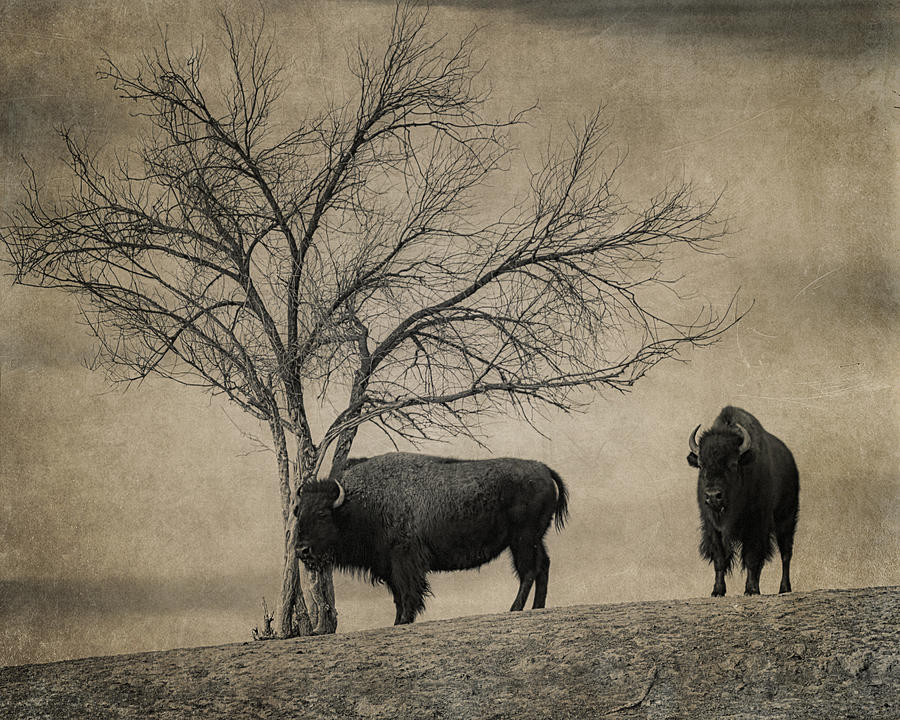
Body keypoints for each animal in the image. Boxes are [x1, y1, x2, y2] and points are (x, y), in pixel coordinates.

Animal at [292, 456, 568, 624]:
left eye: (322, 513)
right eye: (299, 513)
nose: (302, 550)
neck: (357, 503)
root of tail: (543, 469)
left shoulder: (404, 559)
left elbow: (408, 593)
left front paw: (404, 620)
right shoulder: (389, 566)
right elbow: (398, 596)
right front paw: (398, 621)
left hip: (523, 539)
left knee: (529, 570)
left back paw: (515, 608)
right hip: (533, 538)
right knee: (543, 565)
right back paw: (537, 607)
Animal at [688, 404, 800, 596]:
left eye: (733, 464)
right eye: (701, 465)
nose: (713, 496)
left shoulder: (756, 525)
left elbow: (752, 558)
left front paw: (752, 589)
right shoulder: (712, 527)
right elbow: (719, 558)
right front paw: (717, 591)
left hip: (786, 518)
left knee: (786, 554)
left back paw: (784, 588)